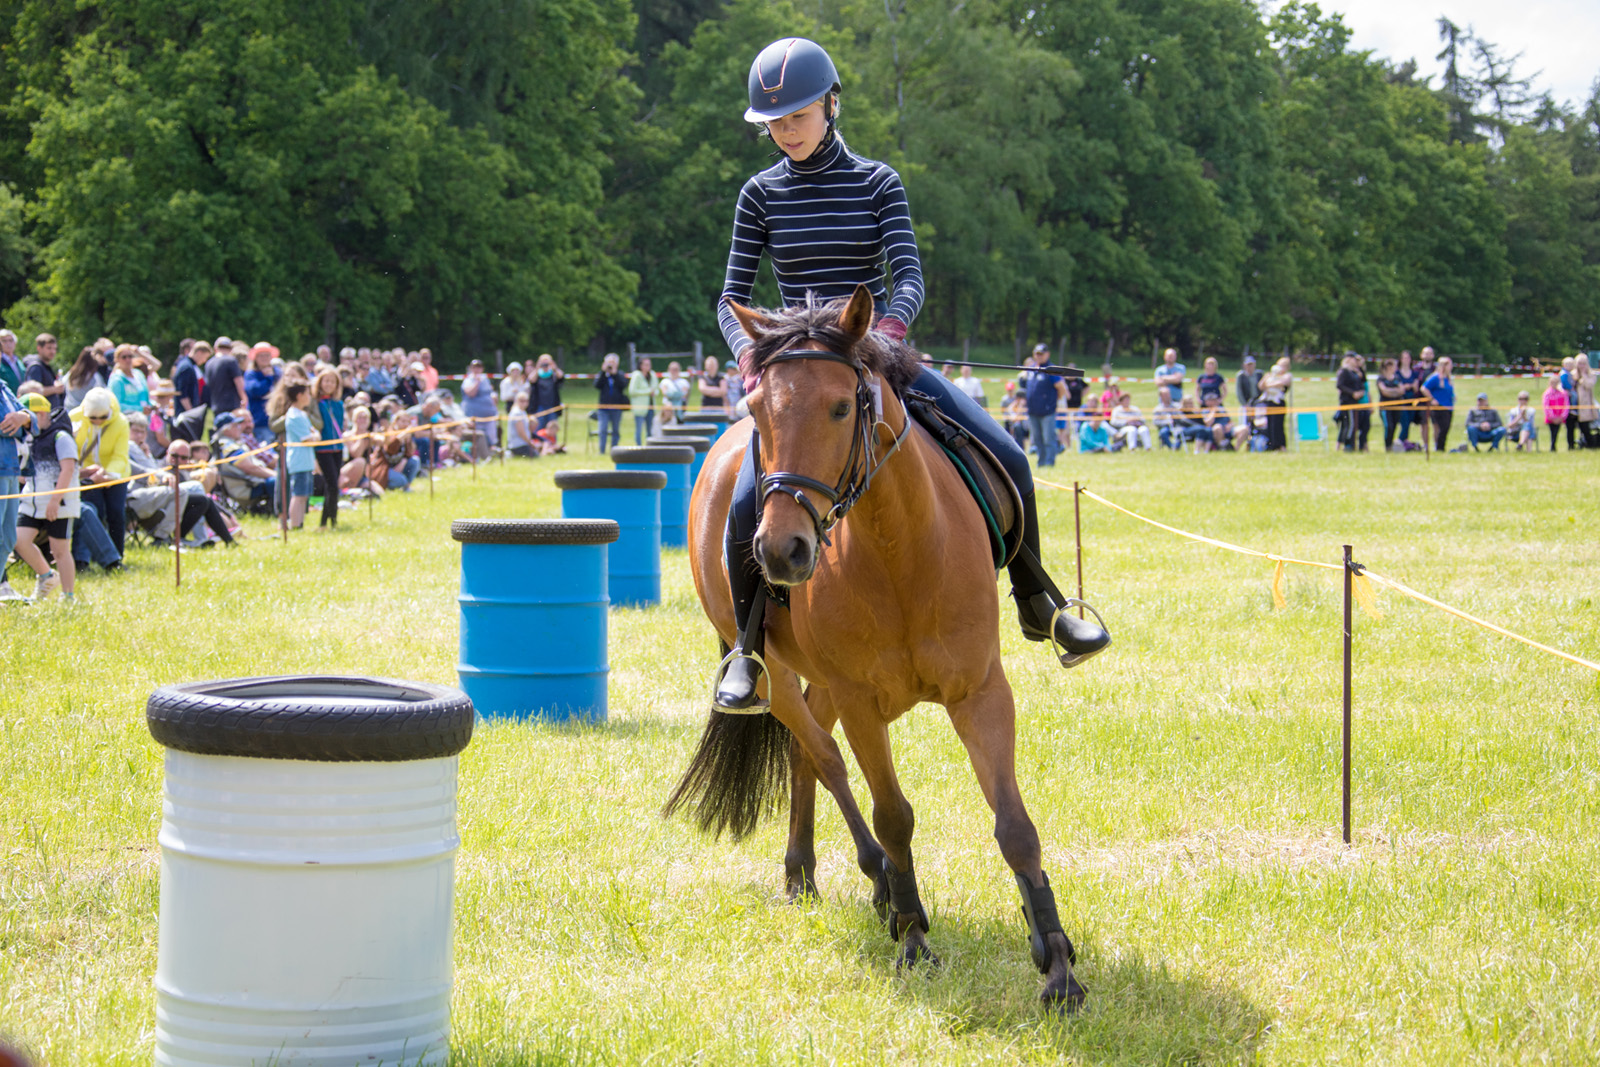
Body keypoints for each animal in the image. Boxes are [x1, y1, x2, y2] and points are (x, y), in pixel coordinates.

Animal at [662, 283, 1088, 1011]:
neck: (900, 553)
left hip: (824, 682)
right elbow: (893, 817)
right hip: (778, 675)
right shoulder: (863, 702)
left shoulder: (981, 691)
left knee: (805, 753)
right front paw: (915, 939)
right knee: (822, 756)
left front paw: (1057, 963)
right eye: (758, 409)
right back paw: (876, 885)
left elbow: (1014, 824)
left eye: (841, 405)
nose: (782, 551)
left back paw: (806, 871)